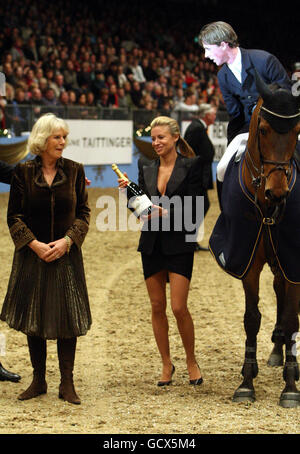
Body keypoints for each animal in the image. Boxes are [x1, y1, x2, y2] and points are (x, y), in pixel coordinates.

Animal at [209, 72, 300, 408]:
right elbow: (252, 318)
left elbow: (291, 319)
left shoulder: (293, 259)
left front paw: (290, 387)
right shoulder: (249, 259)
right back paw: (274, 351)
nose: (278, 192)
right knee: (278, 295)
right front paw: (247, 381)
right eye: (262, 129)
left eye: (296, 132)